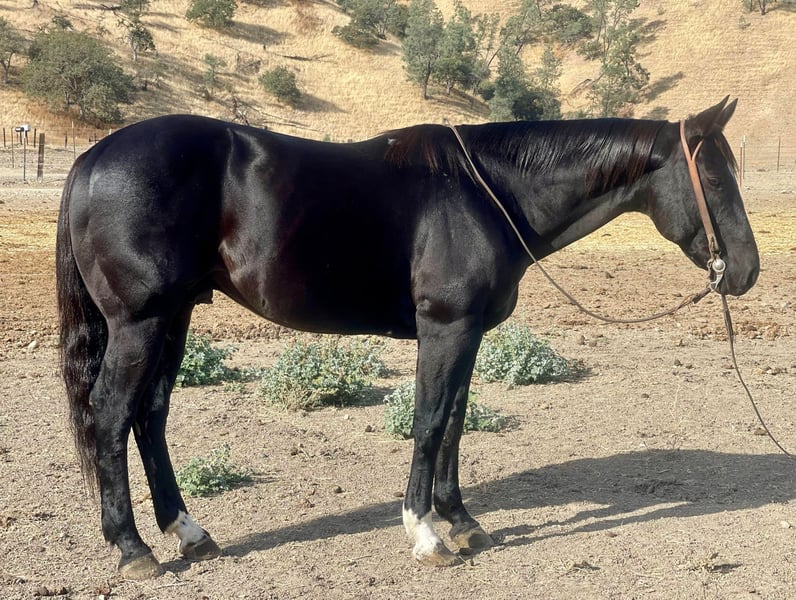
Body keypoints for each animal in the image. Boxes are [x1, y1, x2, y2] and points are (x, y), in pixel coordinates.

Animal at [56, 97, 759, 578]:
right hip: (141, 322)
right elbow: (427, 422)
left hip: (175, 317)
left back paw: (189, 533)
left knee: (149, 416)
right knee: (111, 414)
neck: (487, 192)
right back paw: (133, 548)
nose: (747, 272)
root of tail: (91, 158)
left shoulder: (467, 332)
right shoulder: (444, 328)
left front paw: (463, 522)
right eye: (714, 178)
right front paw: (425, 533)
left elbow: (454, 422)